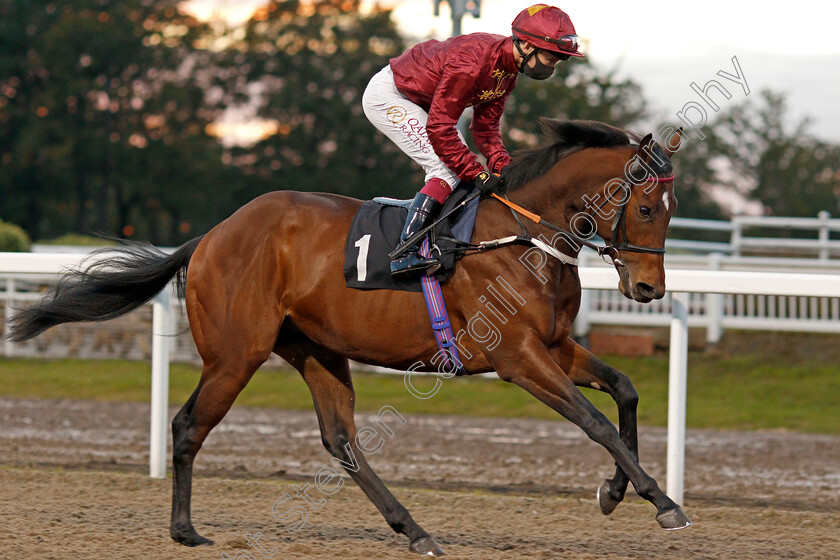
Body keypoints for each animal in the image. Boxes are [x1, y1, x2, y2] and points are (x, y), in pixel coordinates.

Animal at [8, 119, 688, 556]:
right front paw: (663, 502)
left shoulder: (553, 346)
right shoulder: (516, 357)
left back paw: (414, 530)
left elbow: (624, 390)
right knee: (188, 425)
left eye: (672, 210)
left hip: (317, 350)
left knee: (341, 441)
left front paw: (615, 491)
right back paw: (186, 530)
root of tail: (209, 236)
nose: (649, 289)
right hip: (236, 354)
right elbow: (594, 422)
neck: (521, 240)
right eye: (646, 208)